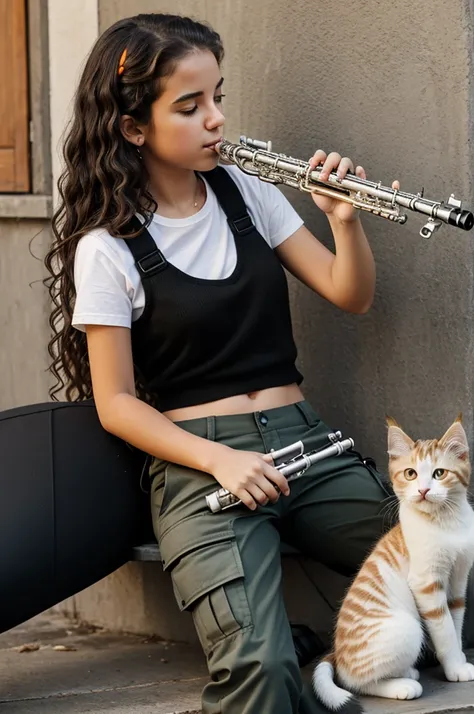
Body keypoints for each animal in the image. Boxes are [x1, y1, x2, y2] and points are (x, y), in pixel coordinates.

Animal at [312, 414, 474, 708]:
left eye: (439, 473)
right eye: (410, 474)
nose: (423, 490)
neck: (447, 522)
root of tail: (337, 655)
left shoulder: (458, 580)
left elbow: (455, 624)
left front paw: (459, 662)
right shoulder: (426, 584)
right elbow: (444, 631)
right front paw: (454, 667)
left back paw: (406, 671)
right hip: (408, 629)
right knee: (356, 683)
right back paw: (403, 685)